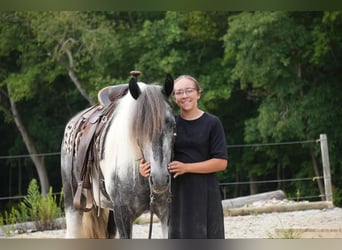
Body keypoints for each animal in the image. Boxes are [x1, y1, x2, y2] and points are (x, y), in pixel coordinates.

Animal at [59, 74, 175, 238]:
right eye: (138, 127)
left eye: (172, 124)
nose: (160, 180)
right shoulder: (122, 215)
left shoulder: (166, 213)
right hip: (73, 204)